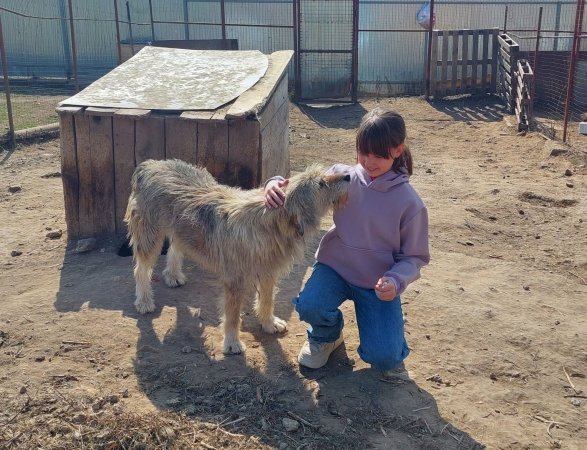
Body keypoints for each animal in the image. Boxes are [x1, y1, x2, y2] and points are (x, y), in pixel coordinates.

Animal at [124, 160, 350, 354]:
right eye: (320, 183)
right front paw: (232, 342)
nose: (348, 175)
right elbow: (232, 316)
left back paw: (172, 275)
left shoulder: (268, 272)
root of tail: (149, 165)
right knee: (140, 269)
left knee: (176, 246)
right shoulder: (235, 281)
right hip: (149, 236)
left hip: (180, 227)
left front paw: (269, 323)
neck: (270, 223)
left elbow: (267, 300)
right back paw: (144, 301)